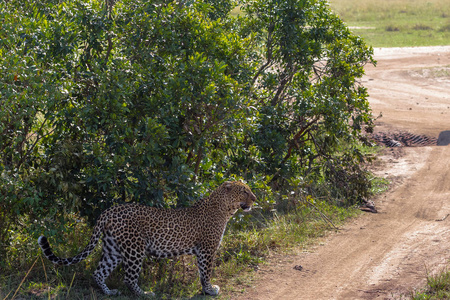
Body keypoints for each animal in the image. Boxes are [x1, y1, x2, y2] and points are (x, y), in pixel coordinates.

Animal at [37, 180, 256, 296]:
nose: (255, 198)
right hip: (135, 248)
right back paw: (145, 294)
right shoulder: (207, 249)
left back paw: (109, 292)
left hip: (113, 249)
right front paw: (210, 290)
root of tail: (109, 211)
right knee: (128, 277)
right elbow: (205, 272)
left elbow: (203, 272)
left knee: (99, 272)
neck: (225, 209)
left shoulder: (203, 250)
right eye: (243, 191)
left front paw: (207, 289)